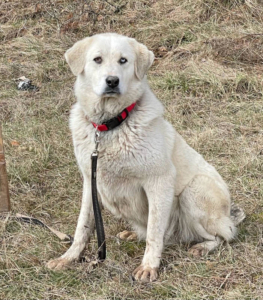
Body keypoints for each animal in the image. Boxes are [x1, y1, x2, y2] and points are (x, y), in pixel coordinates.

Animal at [47, 34, 245, 282]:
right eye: (97, 59)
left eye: (123, 60)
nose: (112, 81)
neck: (110, 126)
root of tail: (228, 215)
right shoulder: (89, 184)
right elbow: (82, 227)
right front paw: (69, 258)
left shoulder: (159, 182)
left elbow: (154, 231)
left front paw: (149, 267)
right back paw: (133, 234)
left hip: (194, 192)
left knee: (223, 235)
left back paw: (202, 247)